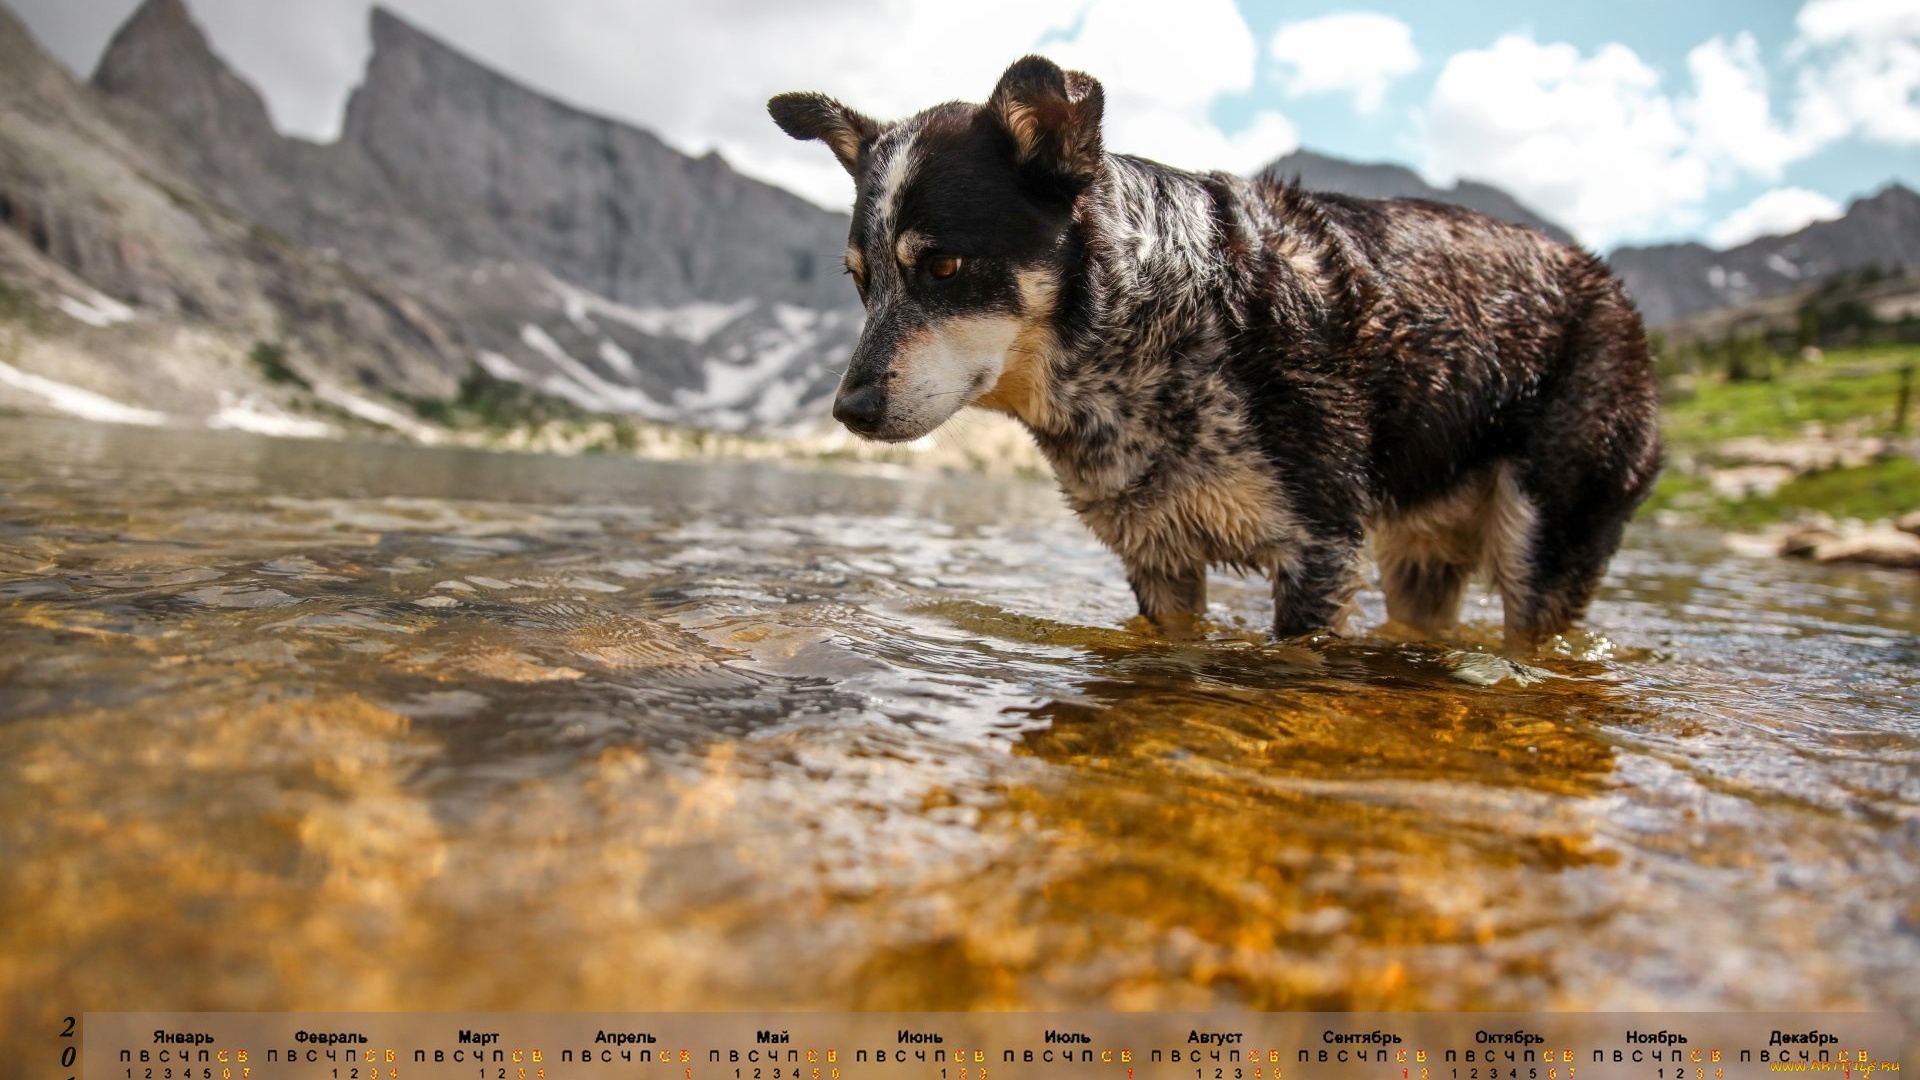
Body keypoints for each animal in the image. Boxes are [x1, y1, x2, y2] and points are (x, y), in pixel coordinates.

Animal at [771, 54, 1658, 645]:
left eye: (945, 267)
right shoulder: (1158, 560)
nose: (848, 409)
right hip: (1420, 559)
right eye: (861, 281)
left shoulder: (1320, 552)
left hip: (1545, 541)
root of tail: (1610, 287)